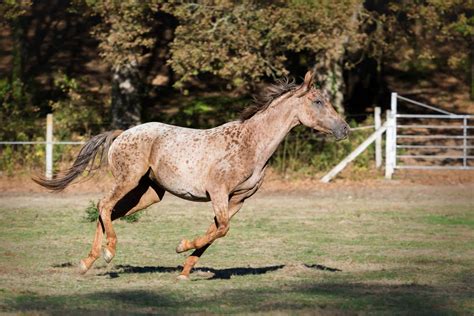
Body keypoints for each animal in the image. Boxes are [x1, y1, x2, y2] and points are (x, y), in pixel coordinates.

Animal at [35, 70, 350, 280]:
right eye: (318, 102)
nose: (344, 129)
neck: (250, 144)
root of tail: (122, 133)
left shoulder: (238, 200)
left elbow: (216, 231)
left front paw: (185, 271)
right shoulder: (219, 193)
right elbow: (222, 229)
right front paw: (181, 247)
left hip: (149, 193)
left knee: (108, 212)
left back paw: (87, 262)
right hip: (128, 180)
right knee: (104, 205)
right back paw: (108, 252)